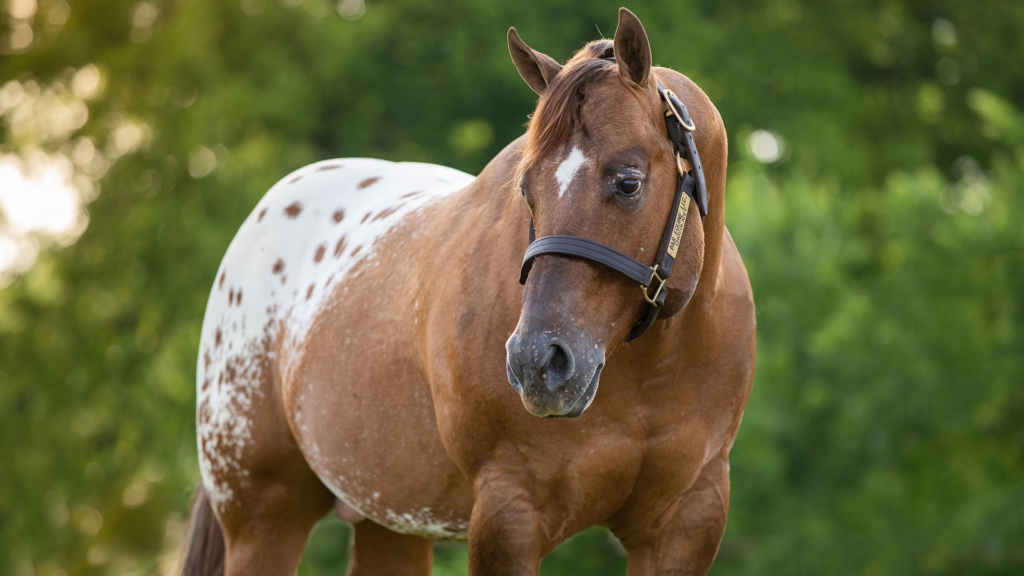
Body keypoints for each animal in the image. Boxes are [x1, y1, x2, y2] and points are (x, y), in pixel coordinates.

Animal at [180, 8, 753, 573]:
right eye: (526, 188)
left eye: (629, 182)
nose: (537, 364)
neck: (651, 372)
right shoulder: (509, 513)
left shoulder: (687, 522)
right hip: (264, 519)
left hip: (392, 523)